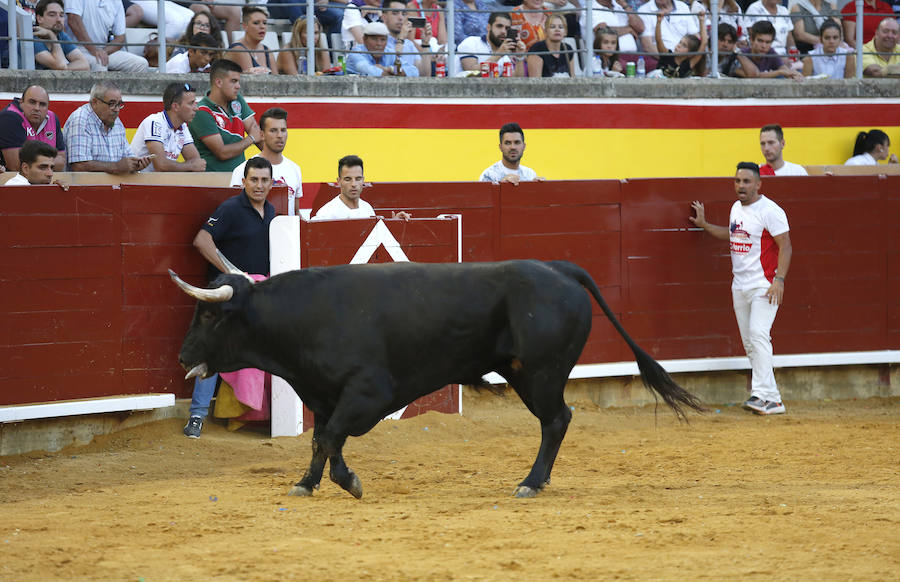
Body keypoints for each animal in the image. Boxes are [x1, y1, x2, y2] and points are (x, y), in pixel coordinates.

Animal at [169, 262, 704, 500]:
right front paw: (306, 483)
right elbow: (321, 439)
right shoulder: (321, 394)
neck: (304, 316)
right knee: (558, 419)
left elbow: (334, 437)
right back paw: (540, 480)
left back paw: (530, 483)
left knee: (555, 420)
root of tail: (560, 270)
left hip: (542, 373)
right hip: (531, 374)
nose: (183, 356)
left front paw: (350, 483)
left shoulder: (369, 393)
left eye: (210, 316)